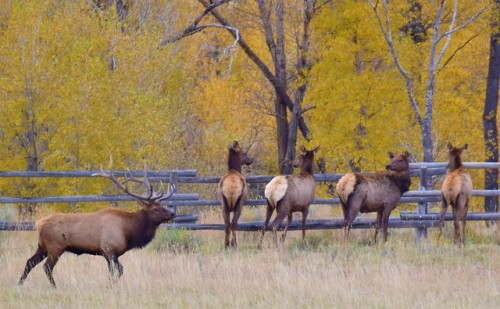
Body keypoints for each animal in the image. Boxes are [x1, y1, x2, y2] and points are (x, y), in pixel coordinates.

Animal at [18, 158, 176, 288]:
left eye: (162, 205)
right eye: (156, 208)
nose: (172, 213)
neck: (128, 232)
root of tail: (38, 224)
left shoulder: (109, 254)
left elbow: (114, 272)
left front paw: (110, 285)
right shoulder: (109, 250)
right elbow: (119, 270)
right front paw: (110, 286)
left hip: (42, 246)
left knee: (29, 262)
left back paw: (19, 284)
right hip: (55, 247)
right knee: (47, 267)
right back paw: (54, 286)